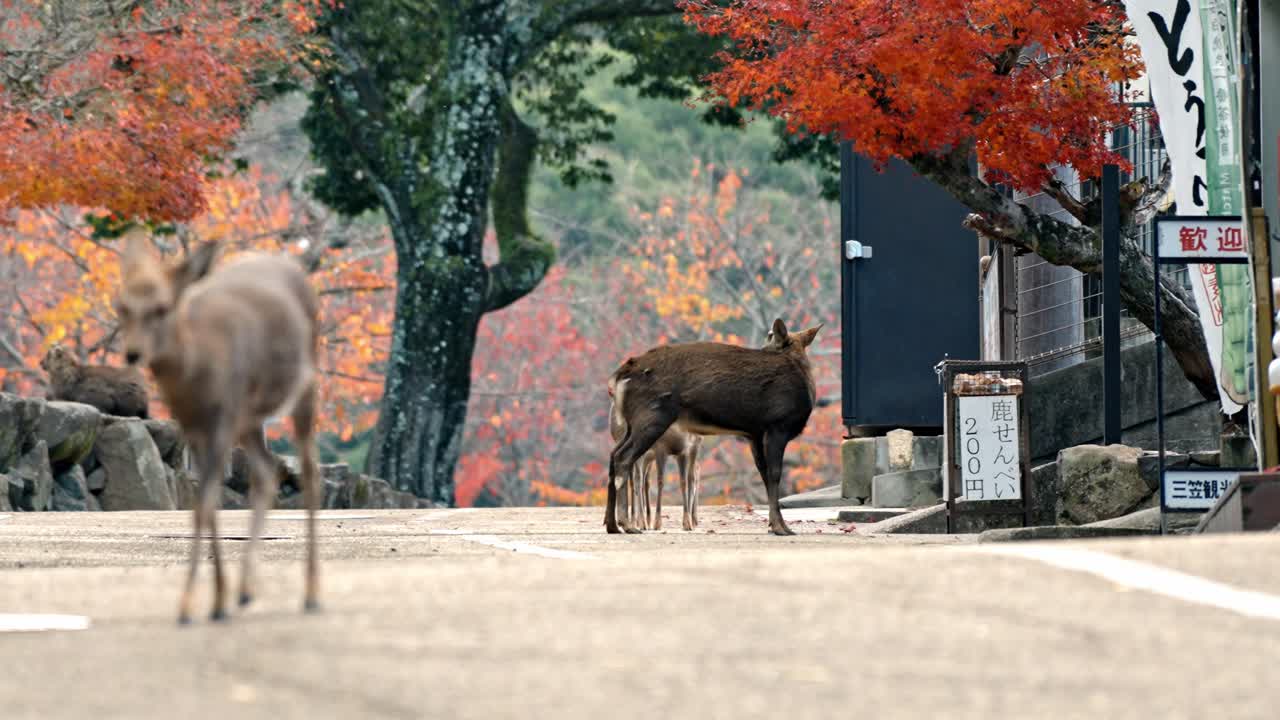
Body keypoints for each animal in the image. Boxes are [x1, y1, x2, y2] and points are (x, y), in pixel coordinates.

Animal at [116, 231, 321, 624]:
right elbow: (206, 502)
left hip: (303, 385)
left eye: (162, 307)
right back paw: (245, 590)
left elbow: (204, 503)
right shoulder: (195, 427)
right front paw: (216, 599)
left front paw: (188, 604)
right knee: (266, 471)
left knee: (309, 471)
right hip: (249, 417)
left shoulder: (223, 418)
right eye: (120, 305)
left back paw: (311, 595)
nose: (132, 353)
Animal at [608, 389, 703, 532]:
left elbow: (685, 481)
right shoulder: (660, 448)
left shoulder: (685, 450)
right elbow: (661, 481)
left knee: (641, 480)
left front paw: (687, 522)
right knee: (637, 480)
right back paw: (639, 522)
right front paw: (657, 522)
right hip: (637, 450)